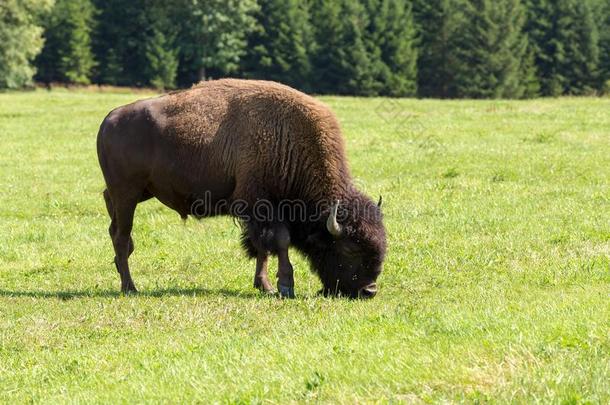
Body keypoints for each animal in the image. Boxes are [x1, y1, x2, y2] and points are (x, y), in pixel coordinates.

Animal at [98, 79, 388, 298]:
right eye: (349, 249)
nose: (369, 291)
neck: (288, 141)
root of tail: (109, 119)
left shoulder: (259, 213)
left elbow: (261, 247)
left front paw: (264, 285)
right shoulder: (262, 205)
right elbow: (279, 242)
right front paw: (284, 286)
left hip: (139, 192)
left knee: (113, 224)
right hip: (127, 194)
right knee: (122, 235)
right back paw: (130, 287)